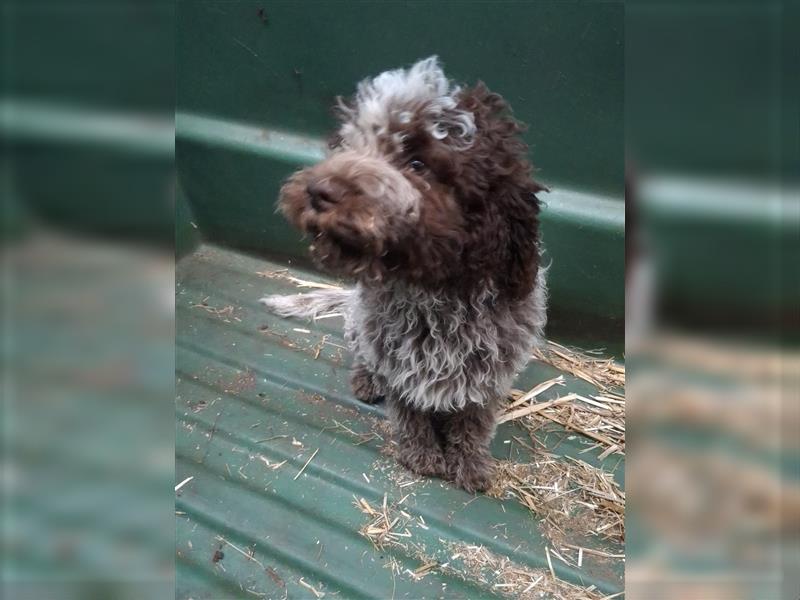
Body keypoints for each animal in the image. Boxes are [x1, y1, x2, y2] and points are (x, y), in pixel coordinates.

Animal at [262, 57, 552, 492]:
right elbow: (409, 412)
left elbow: (473, 421)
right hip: (359, 326)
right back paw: (366, 380)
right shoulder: (396, 363)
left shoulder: (488, 376)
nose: (317, 192)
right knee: (361, 354)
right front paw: (423, 454)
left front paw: (469, 462)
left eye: (418, 164)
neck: (435, 293)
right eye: (350, 143)